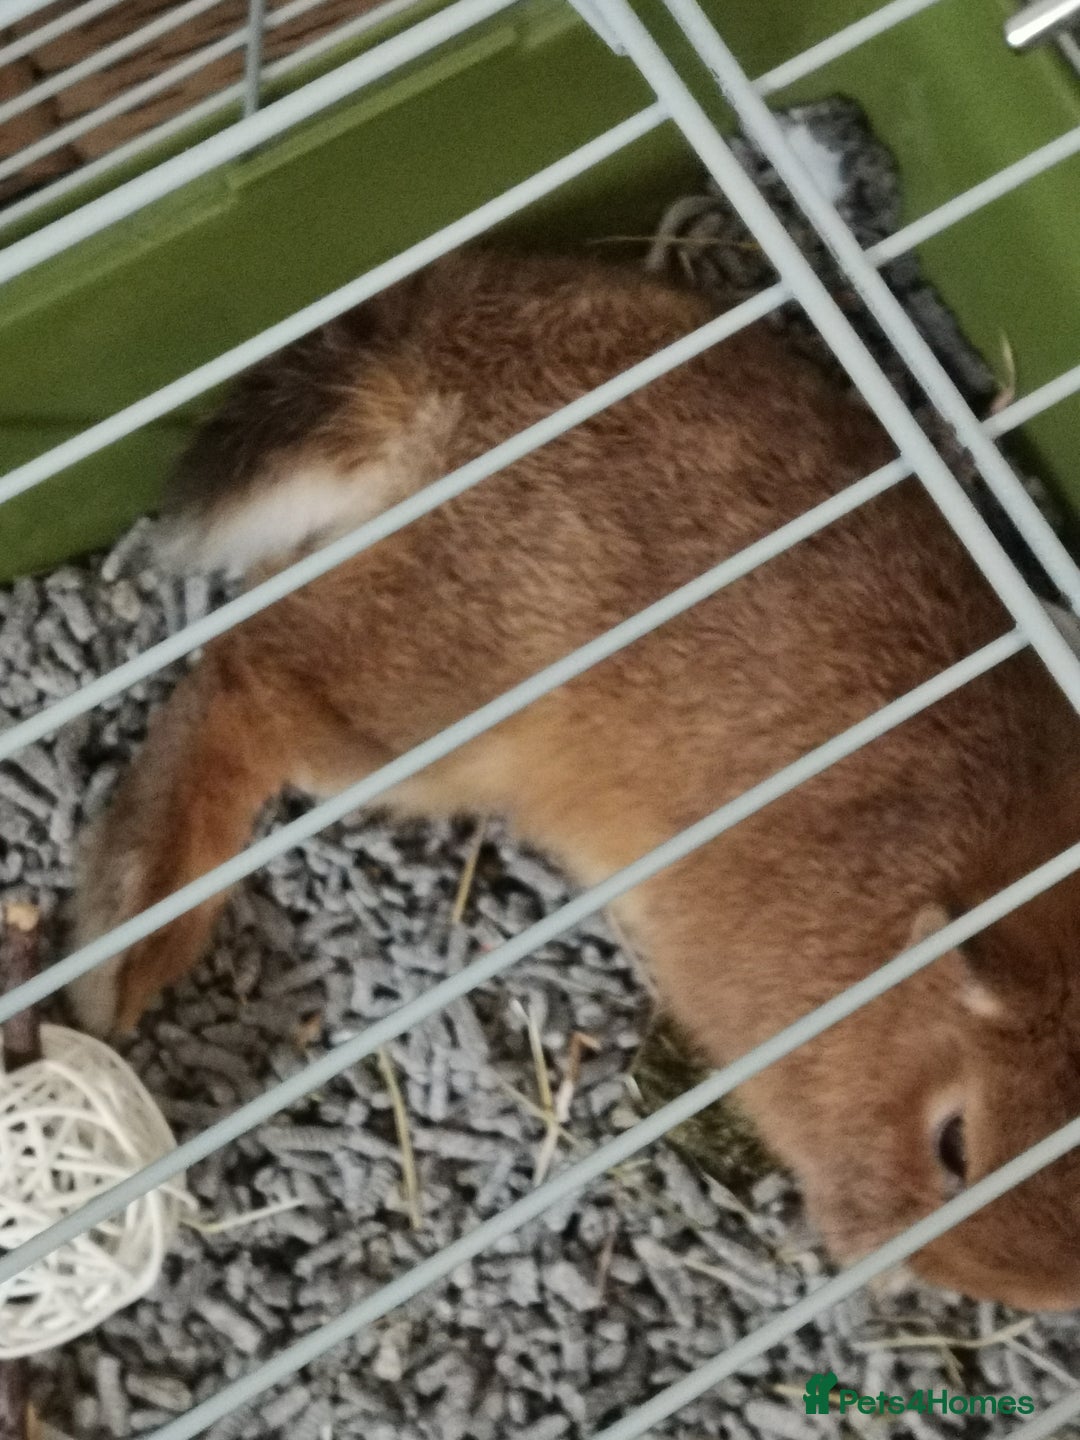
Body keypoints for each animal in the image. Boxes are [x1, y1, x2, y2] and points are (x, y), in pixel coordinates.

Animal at [67, 247, 1080, 1311]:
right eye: (955, 1145)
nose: (1034, 1299)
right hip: (427, 712)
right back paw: (124, 950)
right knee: (241, 679)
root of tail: (437, 358)